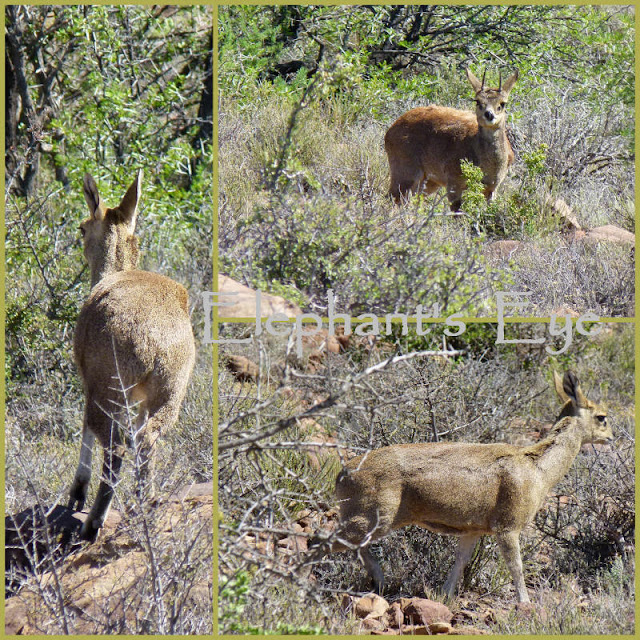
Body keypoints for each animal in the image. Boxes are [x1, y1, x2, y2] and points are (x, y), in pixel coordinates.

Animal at [70, 171, 195, 540]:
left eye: (83, 228)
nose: (79, 234)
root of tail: (155, 343)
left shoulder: (88, 380)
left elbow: (84, 427)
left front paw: (76, 494)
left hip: (110, 387)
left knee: (116, 446)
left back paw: (94, 522)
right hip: (170, 391)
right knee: (146, 438)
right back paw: (146, 506)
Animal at [328, 372, 612, 604]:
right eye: (602, 417)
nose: (611, 437)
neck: (538, 470)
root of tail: (341, 475)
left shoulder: (473, 529)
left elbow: (460, 561)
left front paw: (443, 595)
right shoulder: (508, 525)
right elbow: (516, 565)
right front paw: (526, 603)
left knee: (355, 548)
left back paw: (380, 583)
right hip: (370, 517)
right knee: (325, 542)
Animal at [382, 69, 516, 211]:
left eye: (502, 103)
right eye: (478, 101)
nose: (489, 114)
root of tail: (390, 130)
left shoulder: (492, 189)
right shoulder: (454, 183)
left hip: (428, 181)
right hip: (405, 173)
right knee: (392, 197)